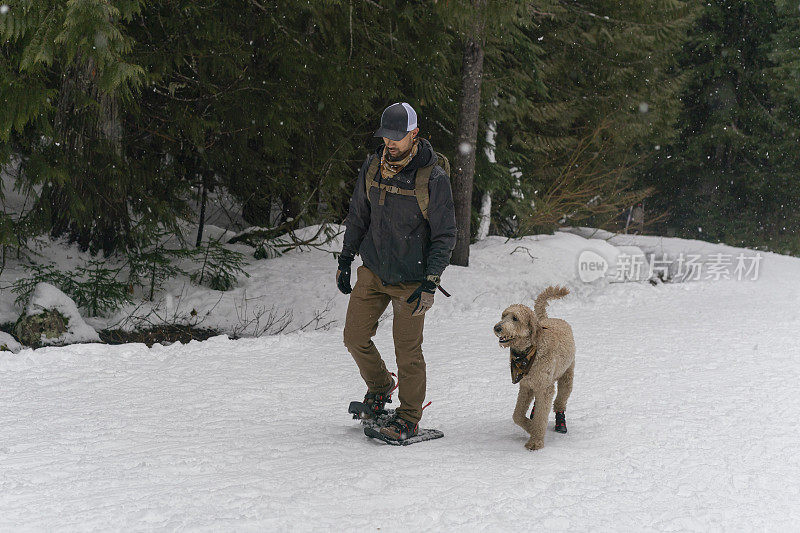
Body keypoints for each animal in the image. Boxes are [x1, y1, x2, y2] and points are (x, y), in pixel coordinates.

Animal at [494, 286, 576, 448]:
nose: (497, 327)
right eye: (504, 315)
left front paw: (535, 441)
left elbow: (540, 416)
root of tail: (549, 318)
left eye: (515, 318)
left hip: (566, 375)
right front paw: (531, 427)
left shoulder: (544, 389)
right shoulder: (526, 386)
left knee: (560, 400)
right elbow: (517, 415)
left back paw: (560, 422)